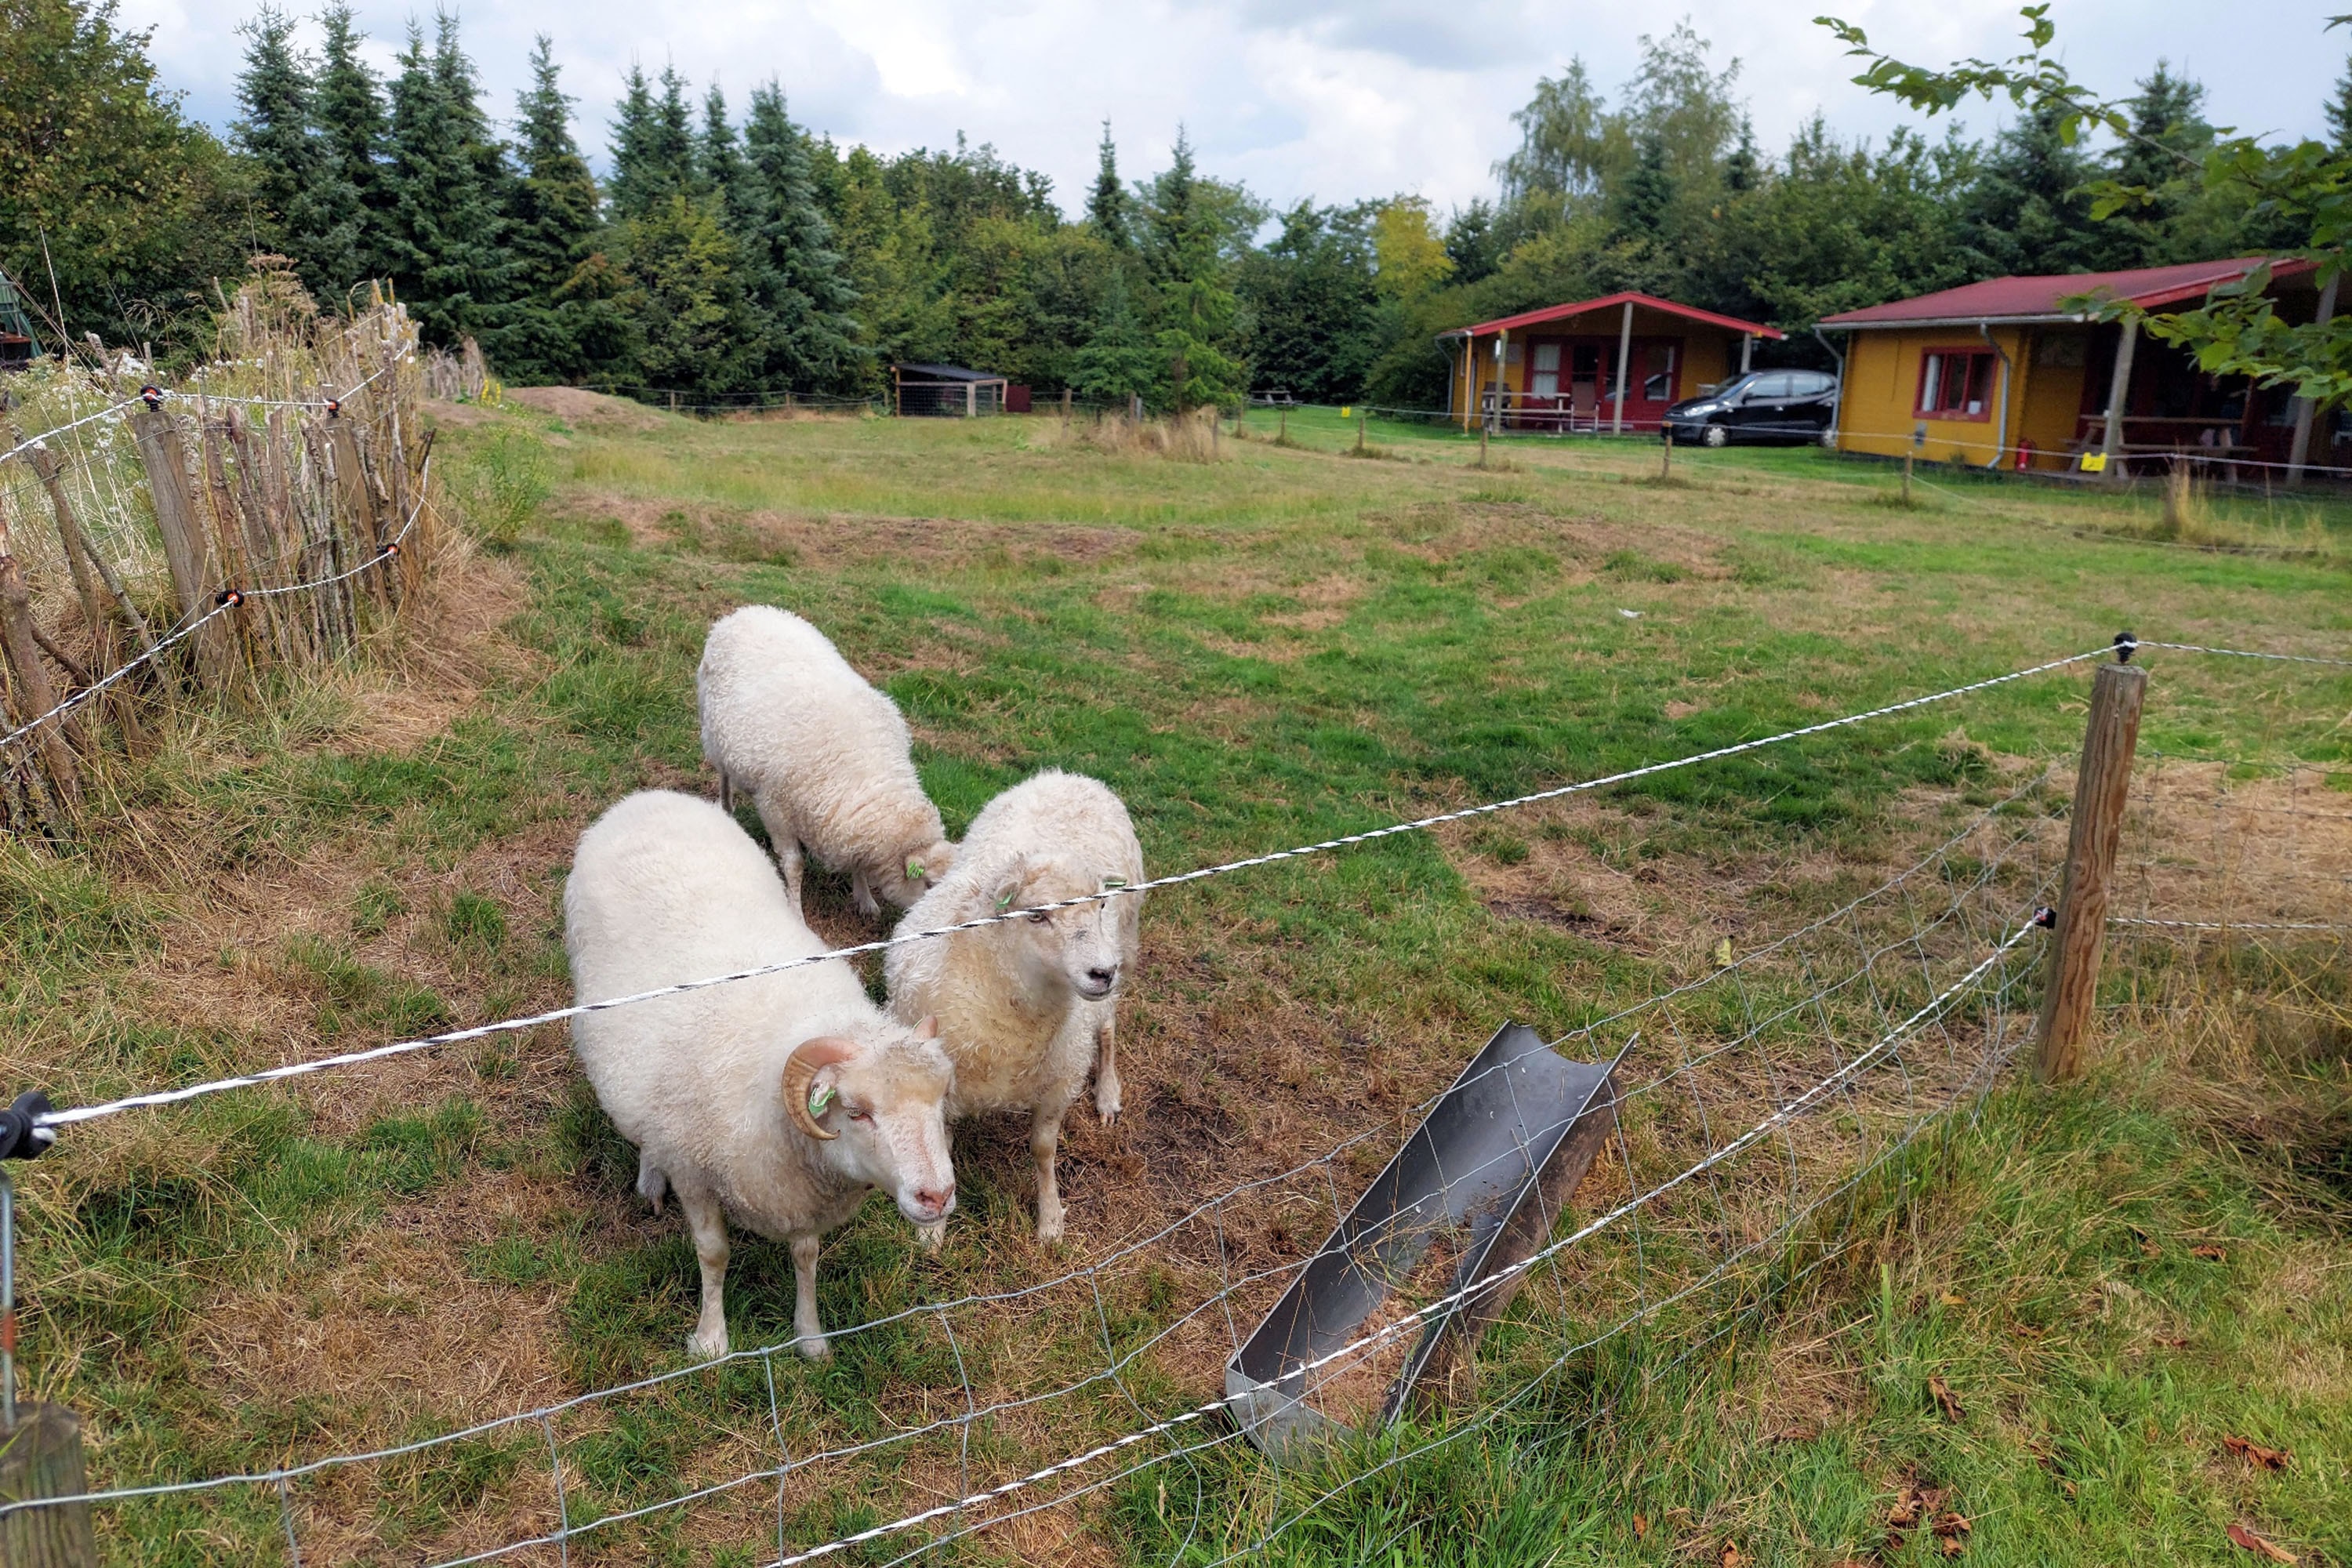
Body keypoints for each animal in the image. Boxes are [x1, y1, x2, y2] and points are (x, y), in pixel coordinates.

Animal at [564, 789, 960, 1354]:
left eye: (939, 1101)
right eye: (857, 1112)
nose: (938, 1197)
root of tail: (651, 797)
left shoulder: (799, 1193)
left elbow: (806, 1256)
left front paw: (811, 1338)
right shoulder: (696, 1173)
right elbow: (713, 1255)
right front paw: (711, 1339)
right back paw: (650, 1177)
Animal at [696, 606, 955, 921]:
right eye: (928, 884)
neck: (867, 773)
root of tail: (748, 611)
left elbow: (858, 862)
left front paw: (866, 899)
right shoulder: (775, 808)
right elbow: (794, 866)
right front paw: (796, 912)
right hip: (712, 729)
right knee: (724, 774)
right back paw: (726, 807)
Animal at [884, 766, 1138, 1241]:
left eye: (1099, 905)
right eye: (1036, 914)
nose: (1102, 972)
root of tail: (1067, 775)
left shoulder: (1059, 1081)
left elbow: (1043, 1150)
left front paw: (1051, 1219)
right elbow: (939, 1149)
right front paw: (932, 1233)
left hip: (1126, 942)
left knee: (1108, 1026)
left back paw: (1107, 1092)